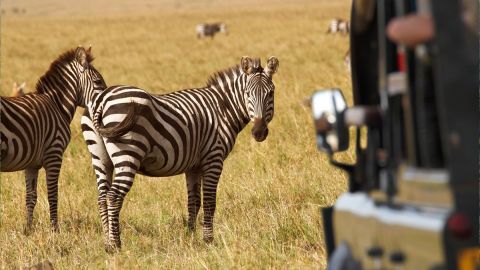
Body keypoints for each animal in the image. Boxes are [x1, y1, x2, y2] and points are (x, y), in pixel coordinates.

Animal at [0, 47, 107, 232]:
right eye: (98, 81)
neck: (57, 105)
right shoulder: (54, 154)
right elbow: (52, 194)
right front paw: (55, 229)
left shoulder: (31, 164)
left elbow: (31, 196)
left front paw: (28, 229)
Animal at [81, 55, 280, 251]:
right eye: (247, 93)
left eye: (270, 93)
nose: (259, 132)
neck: (222, 108)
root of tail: (102, 99)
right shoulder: (214, 158)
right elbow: (209, 202)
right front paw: (208, 240)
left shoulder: (193, 166)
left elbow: (194, 202)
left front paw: (191, 237)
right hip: (127, 153)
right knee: (113, 197)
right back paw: (115, 245)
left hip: (100, 158)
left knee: (102, 197)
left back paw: (107, 242)